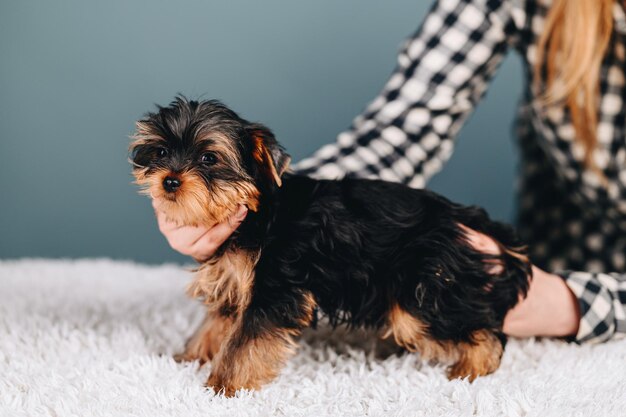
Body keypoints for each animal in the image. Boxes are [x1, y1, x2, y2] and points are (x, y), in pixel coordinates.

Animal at [129, 96, 528, 394]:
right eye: (161, 152)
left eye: (209, 158)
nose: (170, 181)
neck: (254, 210)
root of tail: (462, 216)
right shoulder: (233, 278)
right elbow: (217, 323)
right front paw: (189, 357)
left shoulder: (274, 287)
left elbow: (246, 340)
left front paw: (223, 387)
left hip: (423, 290)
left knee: (481, 330)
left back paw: (470, 371)